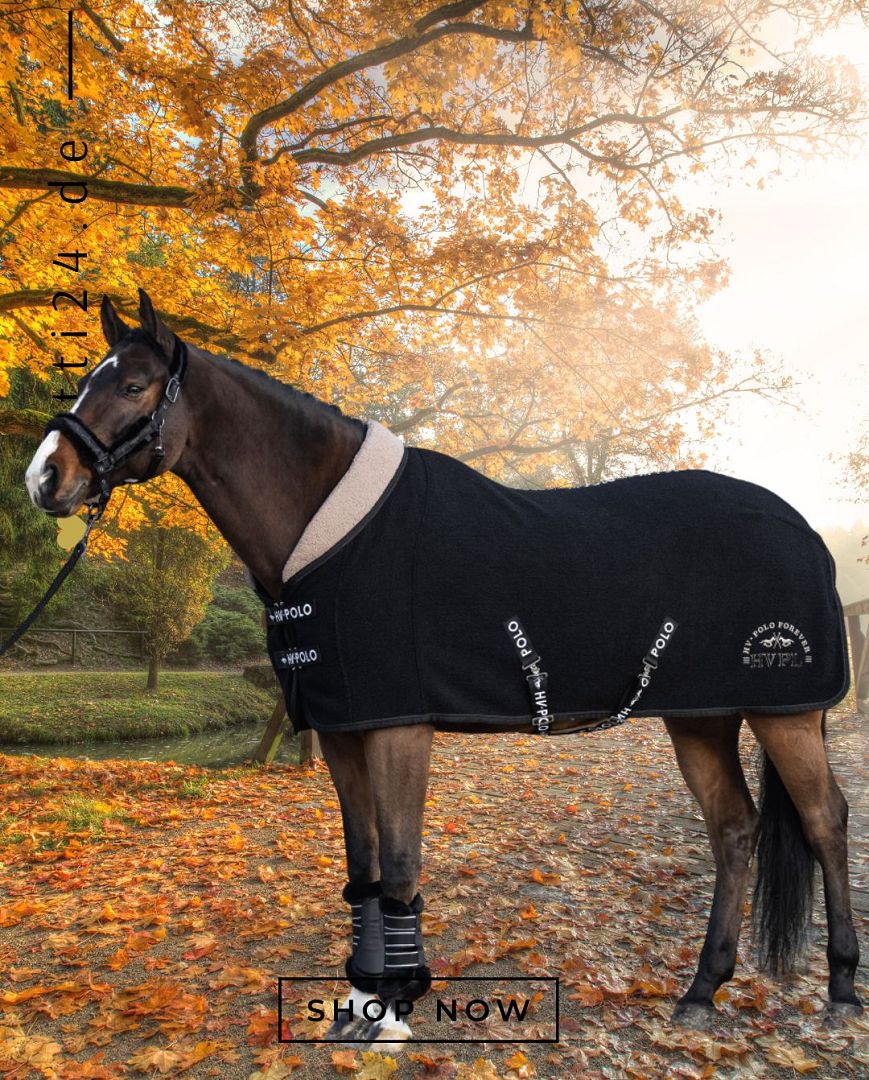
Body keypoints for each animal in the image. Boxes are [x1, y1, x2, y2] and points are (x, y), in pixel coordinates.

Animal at [23, 289, 862, 1046]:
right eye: (86, 379)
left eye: (133, 385)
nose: (44, 479)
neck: (333, 535)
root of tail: (802, 531)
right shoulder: (343, 729)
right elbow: (362, 864)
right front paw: (363, 995)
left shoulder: (399, 728)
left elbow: (399, 865)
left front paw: (396, 1002)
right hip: (701, 718)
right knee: (733, 827)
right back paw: (700, 990)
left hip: (785, 713)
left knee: (824, 820)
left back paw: (840, 989)